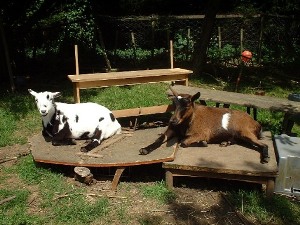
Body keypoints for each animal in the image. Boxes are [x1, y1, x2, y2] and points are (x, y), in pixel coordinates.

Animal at [139, 86, 270, 163]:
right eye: (174, 104)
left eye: (187, 105)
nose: (172, 121)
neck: (187, 122)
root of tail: (256, 123)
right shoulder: (171, 130)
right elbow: (159, 139)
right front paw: (145, 149)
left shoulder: (202, 133)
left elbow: (184, 142)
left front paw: (202, 143)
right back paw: (225, 142)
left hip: (245, 131)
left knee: (263, 144)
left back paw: (265, 158)